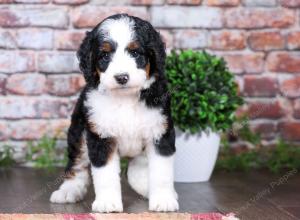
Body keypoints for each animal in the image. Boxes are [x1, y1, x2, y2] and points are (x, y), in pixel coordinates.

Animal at [49, 13, 178, 213]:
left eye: (135, 53)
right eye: (105, 55)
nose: (122, 77)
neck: (125, 98)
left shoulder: (159, 132)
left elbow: (161, 171)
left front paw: (164, 200)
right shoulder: (101, 136)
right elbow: (105, 174)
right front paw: (107, 203)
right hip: (78, 131)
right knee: (76, 164)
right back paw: (68, 190)